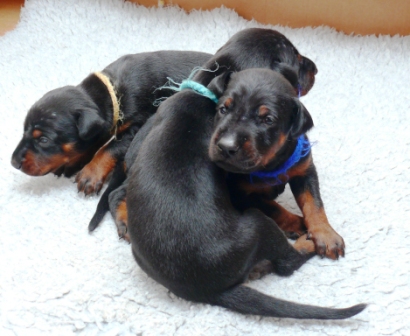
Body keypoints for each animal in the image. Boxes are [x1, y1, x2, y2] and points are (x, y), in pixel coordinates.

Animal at [11, 51, 210, 196]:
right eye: (23, 131)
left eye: (43, 140)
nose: (13, 162)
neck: (111, 92)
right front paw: (73, 162)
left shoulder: (136, 126)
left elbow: (109, 148)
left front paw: (90, 173)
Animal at [109, 28, 366, 318]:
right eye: (297, 59)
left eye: (267, 119)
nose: (315, 68)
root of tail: (205, 291)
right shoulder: (243, 194)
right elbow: (275, 207)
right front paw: (300, 225)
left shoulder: (304, 166)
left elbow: (314, 203)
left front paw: (325, 235)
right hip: (257, 224)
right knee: (286, 261)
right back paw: (302, 243)